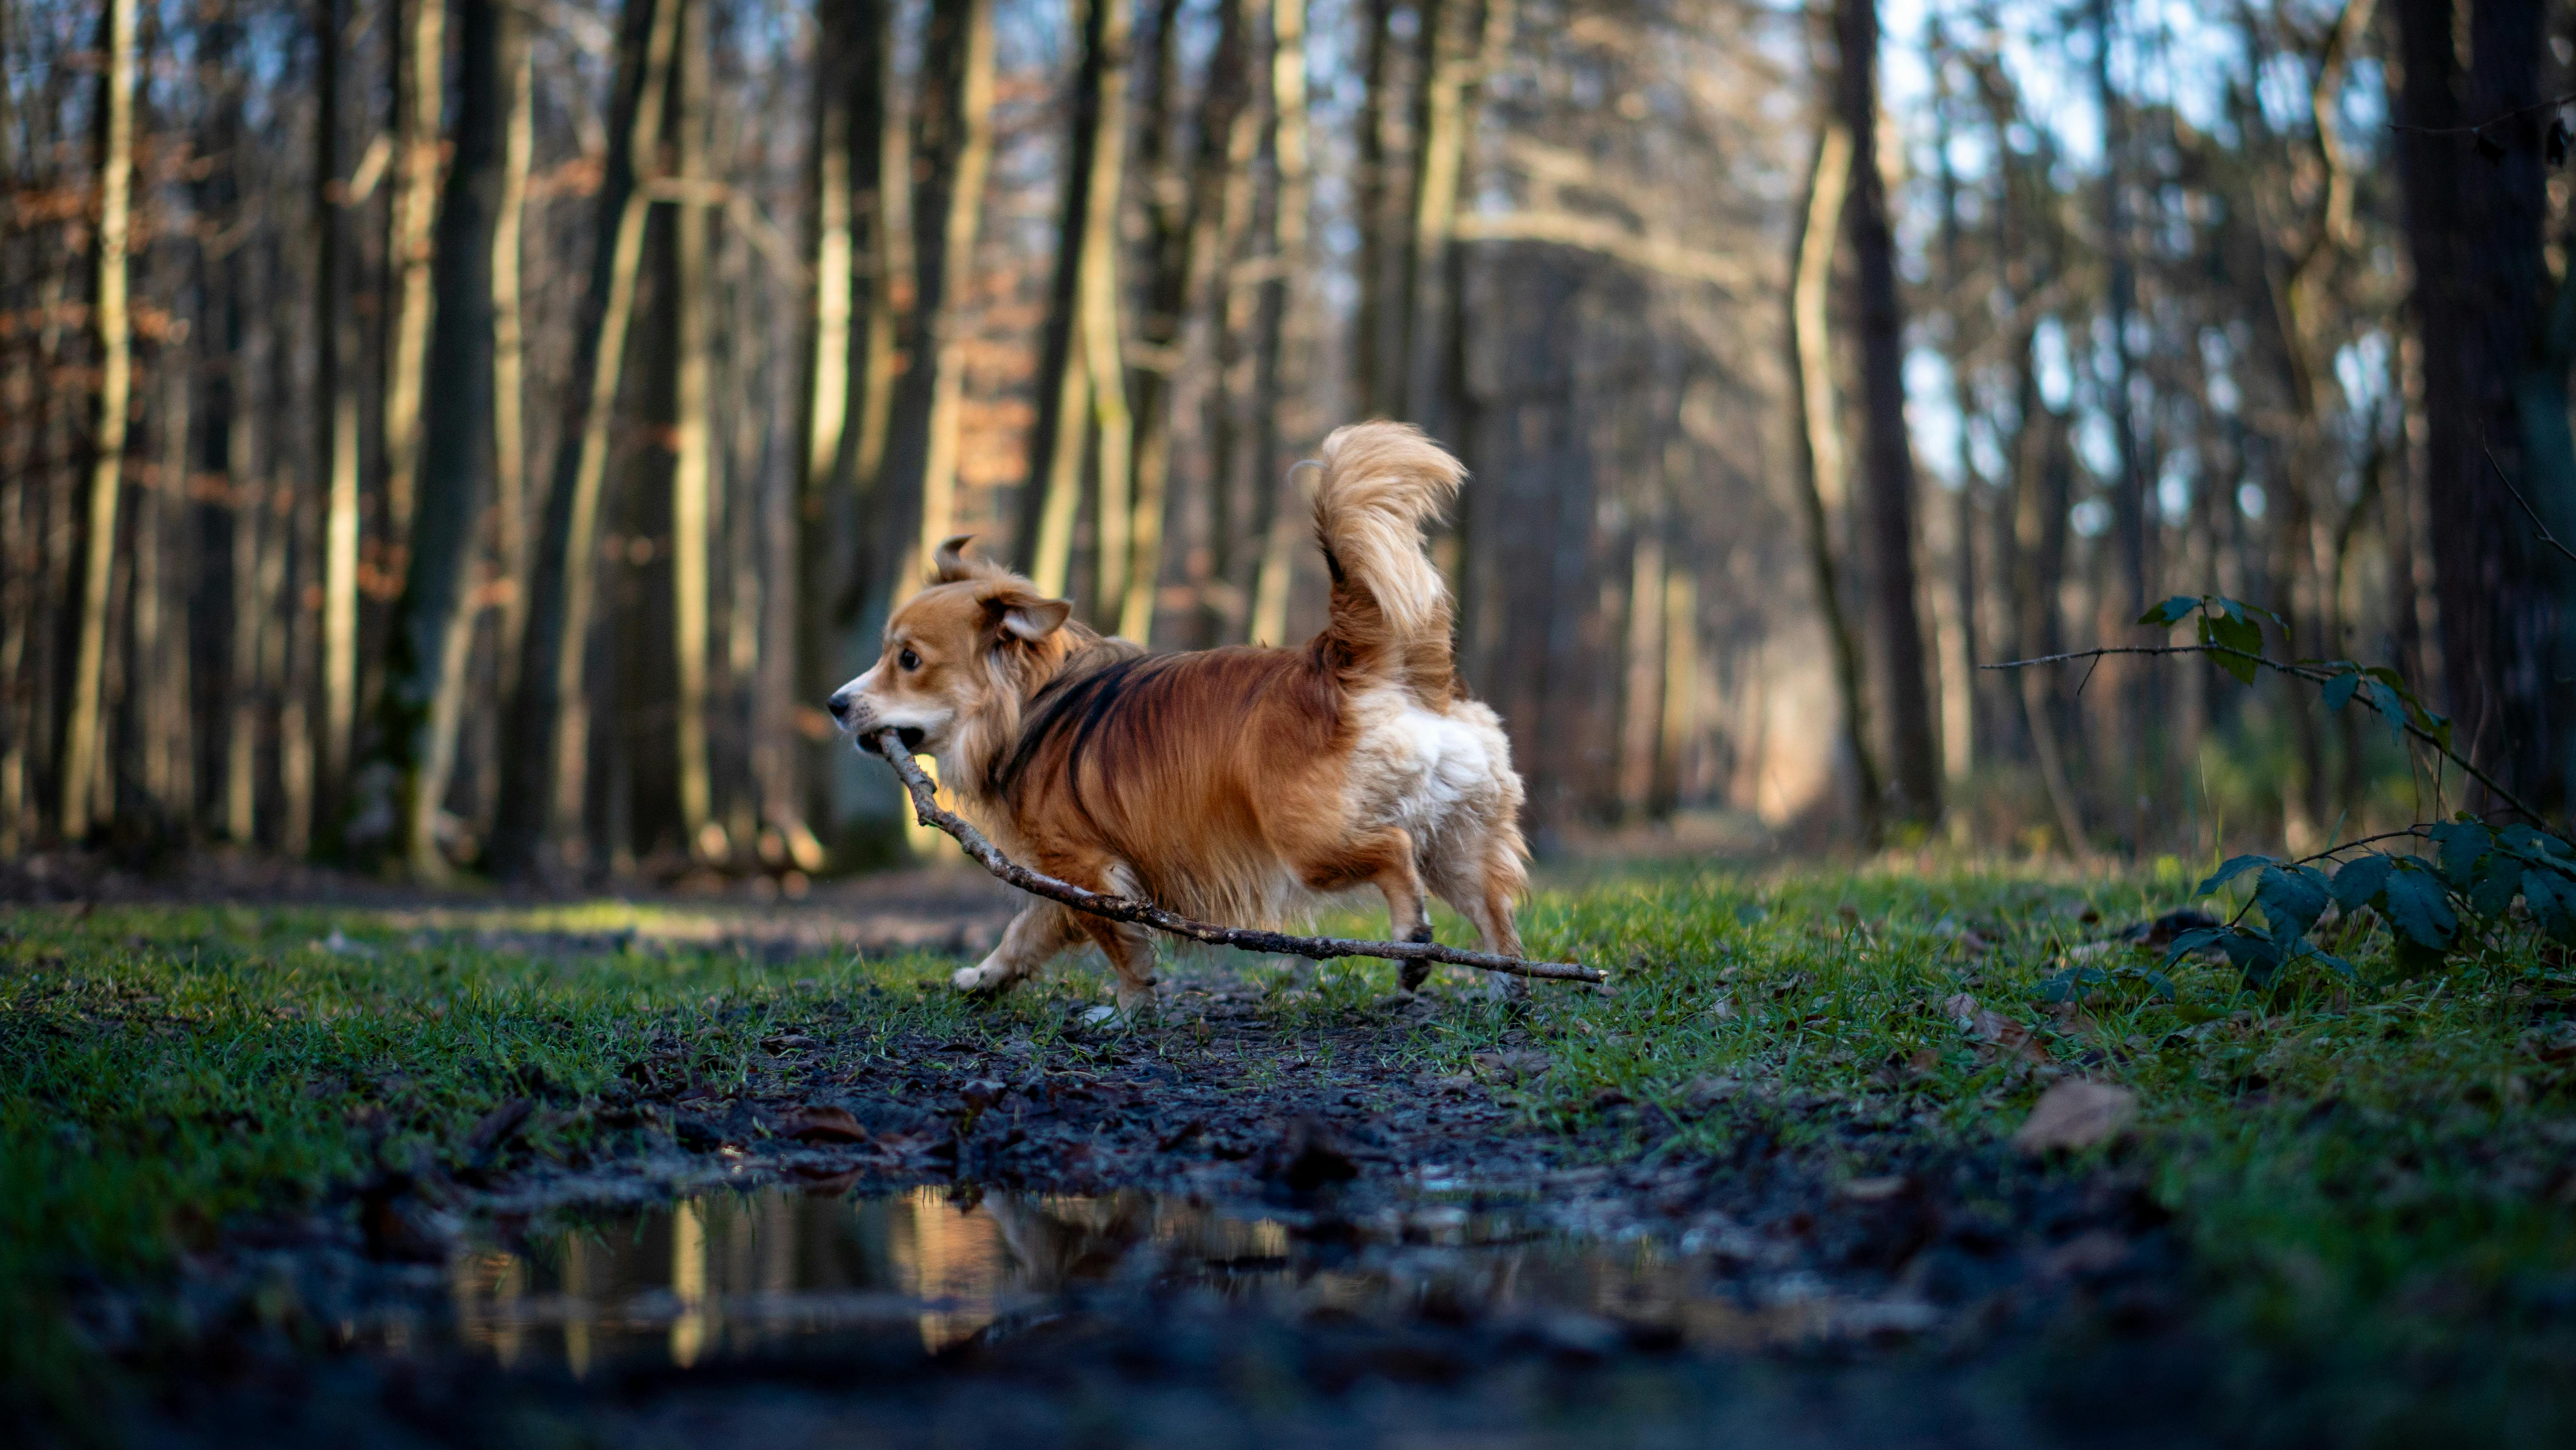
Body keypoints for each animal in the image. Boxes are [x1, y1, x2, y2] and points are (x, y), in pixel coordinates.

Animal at [824, 422, 1515, 1009]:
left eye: (908, 659)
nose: (835, 704)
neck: (1032, 703)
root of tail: (1350, 660)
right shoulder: (1064, 875)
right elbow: (1027, 930)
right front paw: (986, 977)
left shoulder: (1086, 866)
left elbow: (1112, 942)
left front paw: (1131, 1007)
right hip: (1455, 837)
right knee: (1493, 913)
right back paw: (1507, 991)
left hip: (1311, 842)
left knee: (1393, 851)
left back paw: (1412, 942)